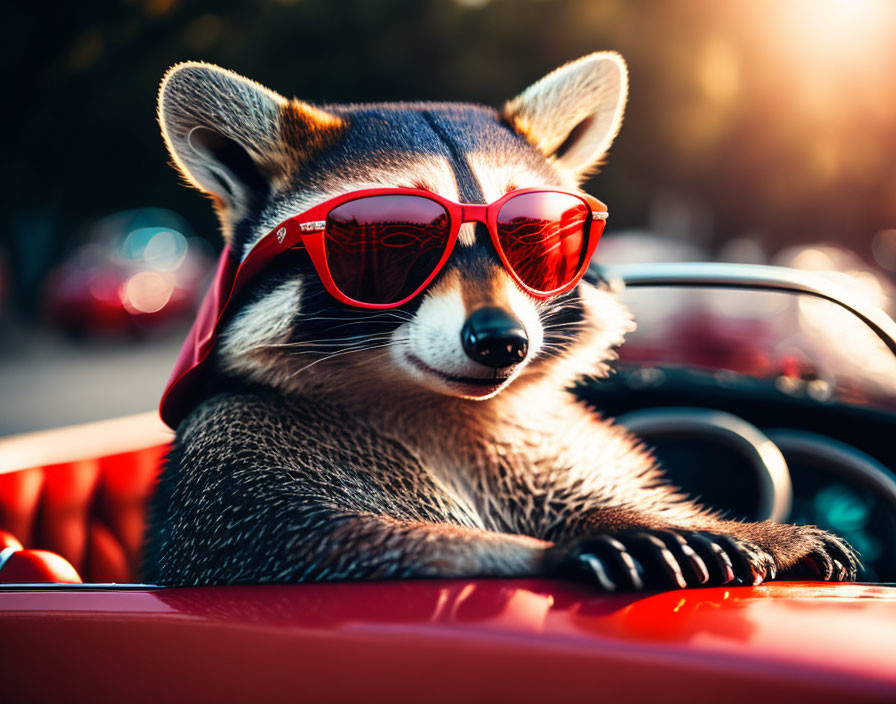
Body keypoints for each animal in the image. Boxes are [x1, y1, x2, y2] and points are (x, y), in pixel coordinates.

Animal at [144, 53, 856, 588]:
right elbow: (318, 550)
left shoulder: (548, 454)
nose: (501, 341)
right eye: (392, 241)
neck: (436, 406)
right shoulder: (238, 454)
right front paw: (539, 555)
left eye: (534, 236)